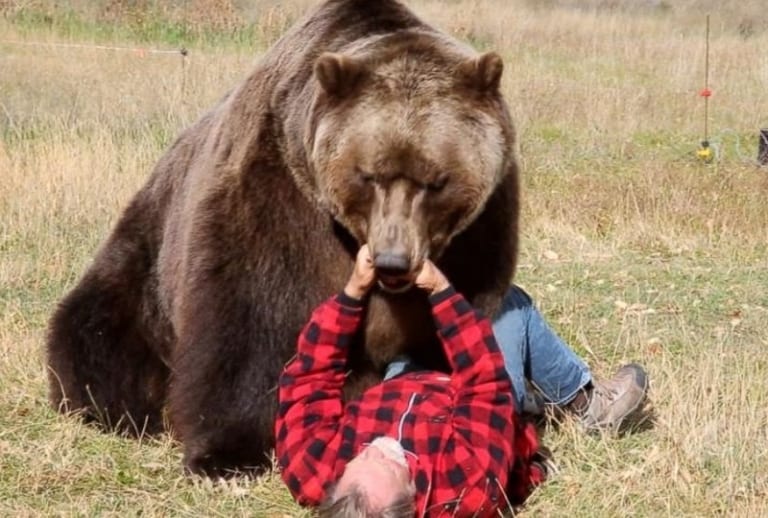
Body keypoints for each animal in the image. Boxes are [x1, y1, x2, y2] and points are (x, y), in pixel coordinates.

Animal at [46, 0, 520, 477]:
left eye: (436, 181)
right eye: (369, 175)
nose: (393, 261)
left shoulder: (478, 237)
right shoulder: (275, 199)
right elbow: (249, 320)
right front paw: (226, 452)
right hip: (146, 263)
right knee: (96, 334)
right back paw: (119, 408)